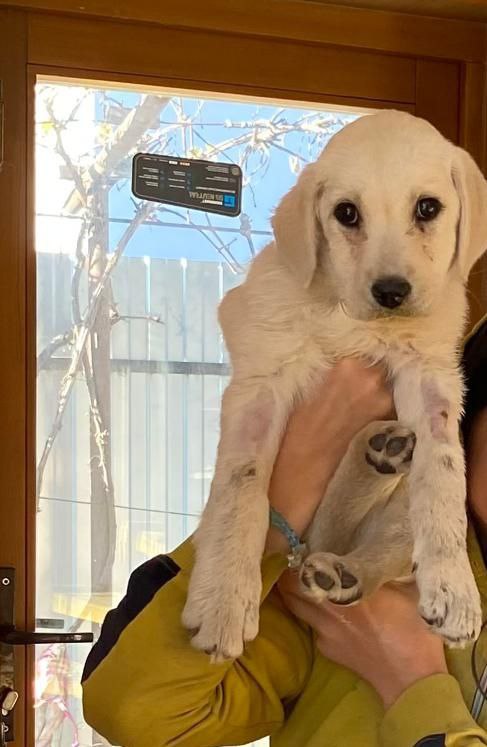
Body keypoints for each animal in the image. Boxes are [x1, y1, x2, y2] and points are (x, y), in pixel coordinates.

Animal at [182, 110, 487, 661]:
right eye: (346, 214)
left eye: (428, 207)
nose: (391, 292)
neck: (350, 318)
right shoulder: (262, 372)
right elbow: (242, 487)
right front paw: (223, 598)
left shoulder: (431, 374)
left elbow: (444, 475)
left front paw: (455, 587)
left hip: (393, 519)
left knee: (370, 545)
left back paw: (354, 551)